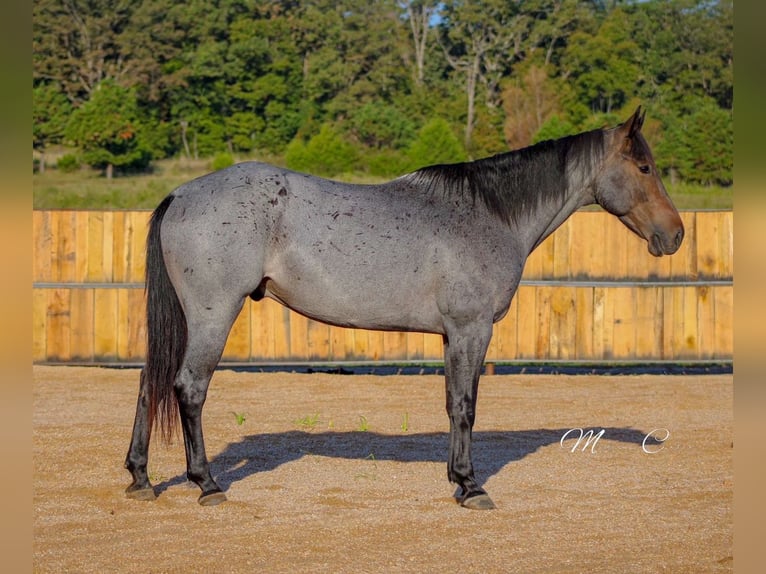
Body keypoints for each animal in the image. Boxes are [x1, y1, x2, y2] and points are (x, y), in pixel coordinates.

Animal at [125, 107, 683, 510]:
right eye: (644, 167)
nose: (675, 234)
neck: (490, 214)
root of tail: (180, 194)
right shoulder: (471, 330)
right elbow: (465, 406)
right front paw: (471, 487)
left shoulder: (452, 335)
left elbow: (453, 403)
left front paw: (458, 478)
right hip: (213, 314)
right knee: (188, 388)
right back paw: (207, 484)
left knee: (151, 382)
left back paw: (140, 478)